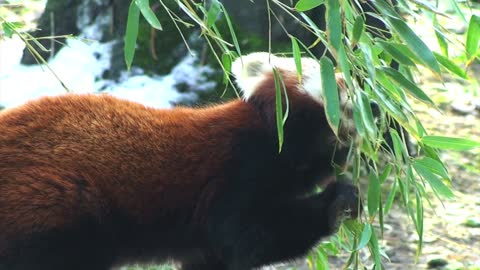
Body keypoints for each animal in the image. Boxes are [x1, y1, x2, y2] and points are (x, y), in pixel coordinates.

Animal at [0, 53, 358, 270]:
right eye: (327, 76)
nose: (356, 85)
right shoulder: (235, 171)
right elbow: (245, 238)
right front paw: (336, 202)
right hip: (53, 208)